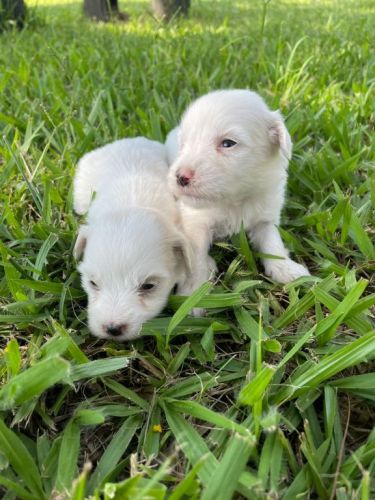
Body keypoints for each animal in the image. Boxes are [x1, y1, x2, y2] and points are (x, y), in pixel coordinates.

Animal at [167, 89, 312, 294]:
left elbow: (273, 242)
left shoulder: (266, 217)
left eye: (228, 143)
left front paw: (286, 269)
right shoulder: (195, 223)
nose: (180, 177)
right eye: (184, 144)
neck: (235, 199)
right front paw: (192, 292)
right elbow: (196, 259)